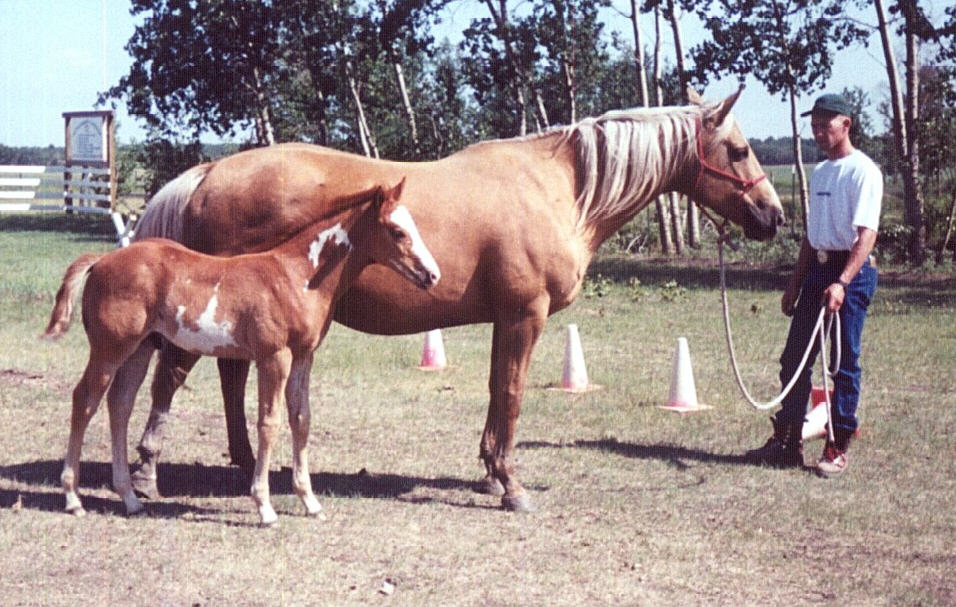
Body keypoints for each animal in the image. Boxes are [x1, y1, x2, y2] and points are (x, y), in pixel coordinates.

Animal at [43, 179, 440, 526]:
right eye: (397, 231)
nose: (432, 275)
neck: (296, 276)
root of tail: (101, 260)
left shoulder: (304, 356)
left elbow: (301, 419)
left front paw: (310, 502)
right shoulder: (274, 356)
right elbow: (269, 422)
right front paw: (264, 507)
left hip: (139, 349)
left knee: (120, 405)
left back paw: (130, 499)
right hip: (109, 348)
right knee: (85, 400)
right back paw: (73, 499)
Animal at [129, 87, 783, 512]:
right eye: (739, 150)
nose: (773, 215)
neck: (559, 189)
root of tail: (210, 171)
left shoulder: (506, 320)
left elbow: (497, 390)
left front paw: (491, 473)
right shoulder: (525, 316)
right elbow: (513, 394)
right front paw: (512, 487)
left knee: (229, 378)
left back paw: (242, 462)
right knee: (170, 380)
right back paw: (146, 476)